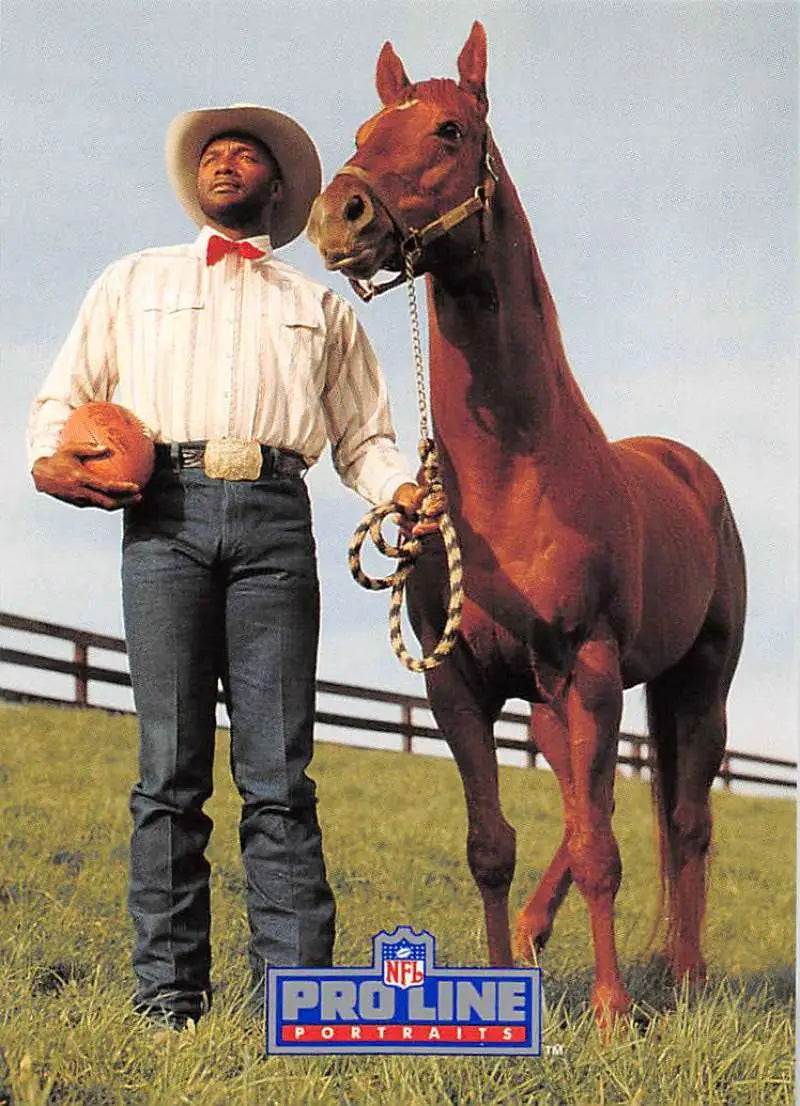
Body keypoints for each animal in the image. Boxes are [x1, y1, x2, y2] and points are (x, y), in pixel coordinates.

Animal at [309, 21, 747, 1030]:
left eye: (450, 129)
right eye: (363, 129)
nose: (338, 215)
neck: (515, 481)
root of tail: (688, 469)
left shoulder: (589, 667)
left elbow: (604, 851)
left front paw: (616, 1015)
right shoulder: (459, 685)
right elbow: (496, 844)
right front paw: (501, 988)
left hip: (692, 682)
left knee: (685, 820)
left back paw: (688, 978)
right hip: (558, 704)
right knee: (602, 811)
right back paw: (549, 937)